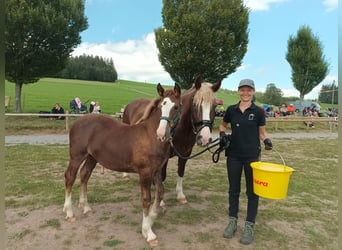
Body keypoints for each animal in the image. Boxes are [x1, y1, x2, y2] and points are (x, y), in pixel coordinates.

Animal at [63, 82, 182, 246]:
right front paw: (148, 233)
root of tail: (77, 122)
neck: (150, 136)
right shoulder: (145, 173)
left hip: (92, 158)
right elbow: (146, 199)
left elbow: (159, 194)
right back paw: (69, 213)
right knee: (70, 177)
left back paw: (86, 208)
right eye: (160, 107)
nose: (161, 134)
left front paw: (150, 220)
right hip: (76, 156)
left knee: (84, 175)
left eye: (176, 107)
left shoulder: (156, 171)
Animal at [123, 75, 222, 203]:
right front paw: (160, 200)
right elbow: (162, 176)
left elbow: (180, 171)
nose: (204, 138)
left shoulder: (185, 153)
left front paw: (180, 195)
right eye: (195, 105)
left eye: (214, 106)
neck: (180, 129)